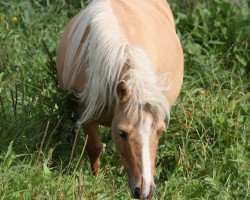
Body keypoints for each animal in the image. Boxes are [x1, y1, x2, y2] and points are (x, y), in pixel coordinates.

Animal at [55, 0, 184, 198]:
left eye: (161, 132)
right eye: (122, 133)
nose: (145, 191)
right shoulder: (84, 112)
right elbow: (95, 147)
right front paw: (96, 178)